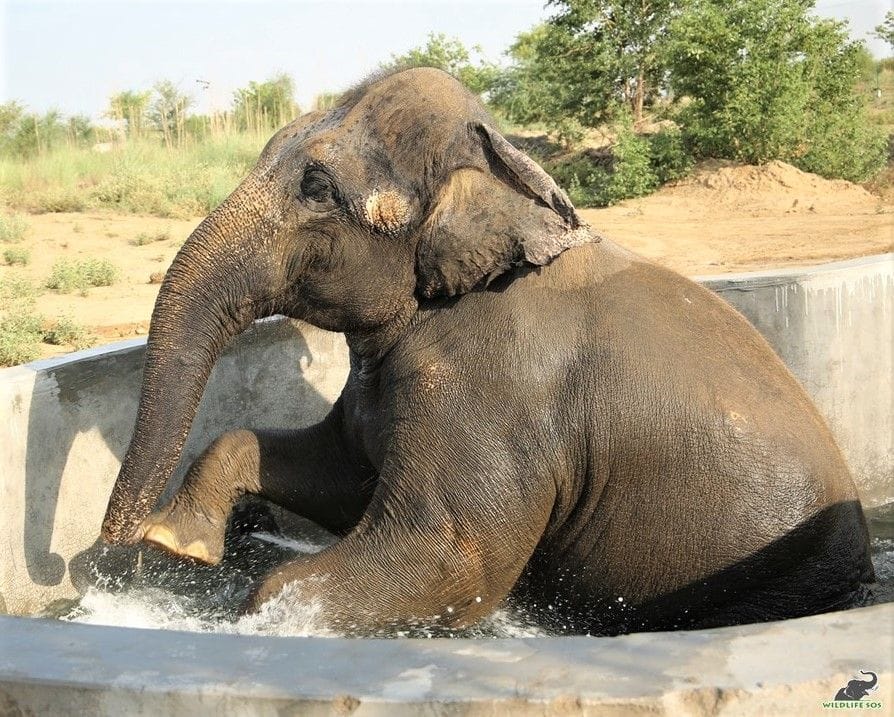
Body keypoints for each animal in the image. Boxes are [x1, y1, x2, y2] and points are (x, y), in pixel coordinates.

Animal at [101, 67, 874, 635]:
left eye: (317, 187)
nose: (113, 563)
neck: (506, 169)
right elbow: (345, 477)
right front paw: (179, 543)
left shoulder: (496, 393)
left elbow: (449, 556)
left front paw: (260, 613)